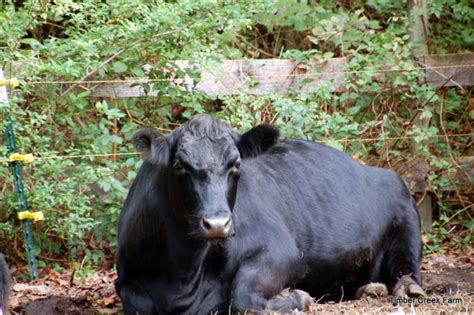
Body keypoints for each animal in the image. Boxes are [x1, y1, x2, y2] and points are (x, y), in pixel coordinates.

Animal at [115, 115, 426, 314]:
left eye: (236, 164)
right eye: (180, 165)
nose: (217, 224)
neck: (183, 275)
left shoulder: (282, 250)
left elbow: (242, 297)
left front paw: (296, 297)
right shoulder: (126, 279)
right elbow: (139, 303)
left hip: (405, 213)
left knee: (406, 264)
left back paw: (406, 288)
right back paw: (368, 289)